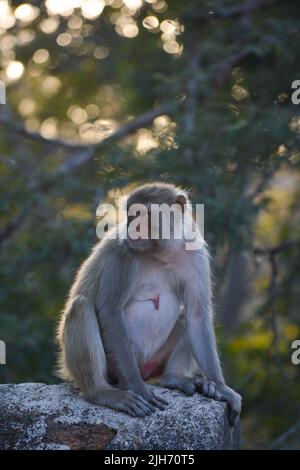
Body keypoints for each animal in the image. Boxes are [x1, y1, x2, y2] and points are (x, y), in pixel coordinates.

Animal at [56, 184, 241, 426]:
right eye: (130, 214)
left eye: (142, 214)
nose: (131, 226)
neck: (162, 252)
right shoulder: (122, 252)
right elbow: (110, 310)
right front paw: (137, 387)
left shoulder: (196, 254)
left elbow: (197, 316)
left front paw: (220, 387)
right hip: (110, 367)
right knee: (81, 307)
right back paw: (100, 392)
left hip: (153, 363)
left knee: (185, 318)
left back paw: (173, 378)